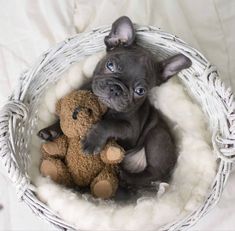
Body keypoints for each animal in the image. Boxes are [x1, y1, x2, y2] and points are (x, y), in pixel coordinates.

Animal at [38, 16, 192, 191]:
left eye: (140, 91)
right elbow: (65, 119)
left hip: (157, 137)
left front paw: (92, 141)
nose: (116, 89)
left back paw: (126, 177)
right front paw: (51, 130)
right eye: (110, 65)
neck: (106, 107)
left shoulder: (130, 133)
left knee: (152, 172)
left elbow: (109, 123)